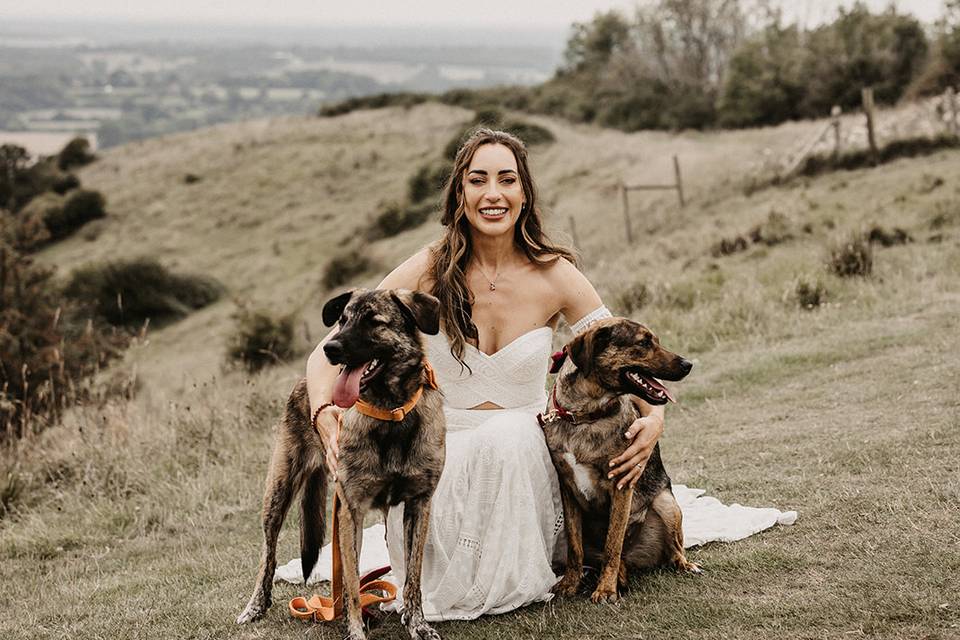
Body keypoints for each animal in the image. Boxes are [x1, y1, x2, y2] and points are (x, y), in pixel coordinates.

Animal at [240, 288, 450, 640]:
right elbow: (351, 584)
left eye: (374, 321)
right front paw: (355, 630)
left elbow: (413, 577)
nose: (330, 348)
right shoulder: (351, 511)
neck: (390, 413)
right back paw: (255, 606)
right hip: (278, 492)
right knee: (267, 556)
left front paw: (417, 624)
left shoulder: (419, 505)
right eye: (342, 320)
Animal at [544, 318, 700, 604]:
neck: (586, 416)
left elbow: (613, 544)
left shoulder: (621, 485)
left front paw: (606, 589)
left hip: (666, 504)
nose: (688, 364)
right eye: (644, 342)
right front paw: (570, 583)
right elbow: (574, 547)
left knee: (673, 550)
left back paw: (683, 564)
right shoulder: (567, 489)